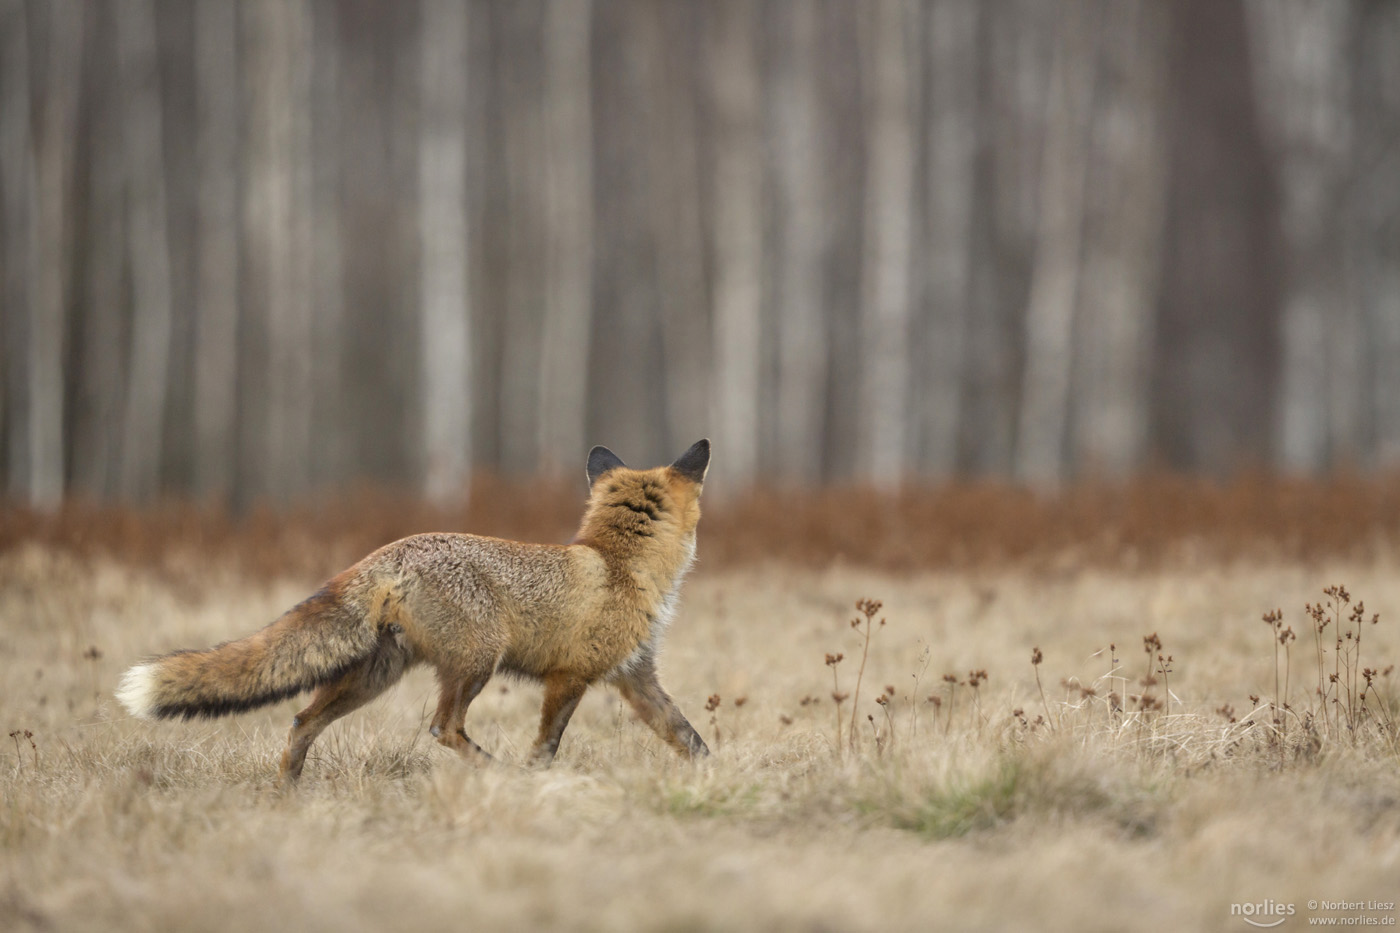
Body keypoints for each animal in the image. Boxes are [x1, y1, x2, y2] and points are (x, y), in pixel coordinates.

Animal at [114, 437, 716, 778]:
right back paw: (496, 773)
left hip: (374, 677)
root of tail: (385, 553)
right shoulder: (570, 677)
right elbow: (547, 746)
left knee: (302, 722)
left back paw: (287, 794)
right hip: (476, 661)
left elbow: (689, 737)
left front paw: (720, 777)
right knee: (442, 728)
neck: (618, 563)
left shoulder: (635, 677)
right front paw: (538, 782)